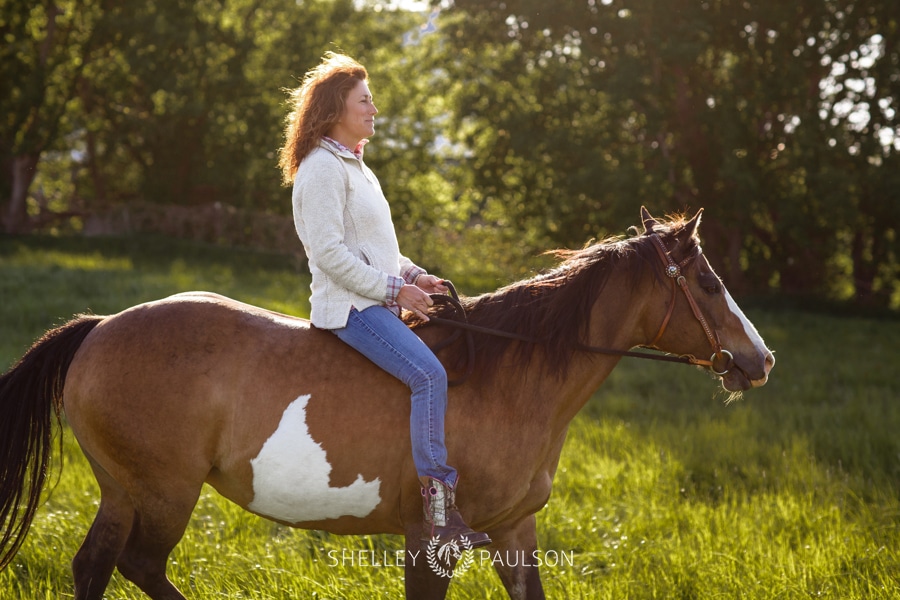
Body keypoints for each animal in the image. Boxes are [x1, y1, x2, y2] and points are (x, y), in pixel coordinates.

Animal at [0, 205, 772, 596]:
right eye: (708, 283)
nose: (759, 361)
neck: (509, 379)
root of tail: (102, 326)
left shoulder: (515, 532)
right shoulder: (431, 542)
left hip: (123, 490)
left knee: (95, 567)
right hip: (163, 491)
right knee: (138, 566)